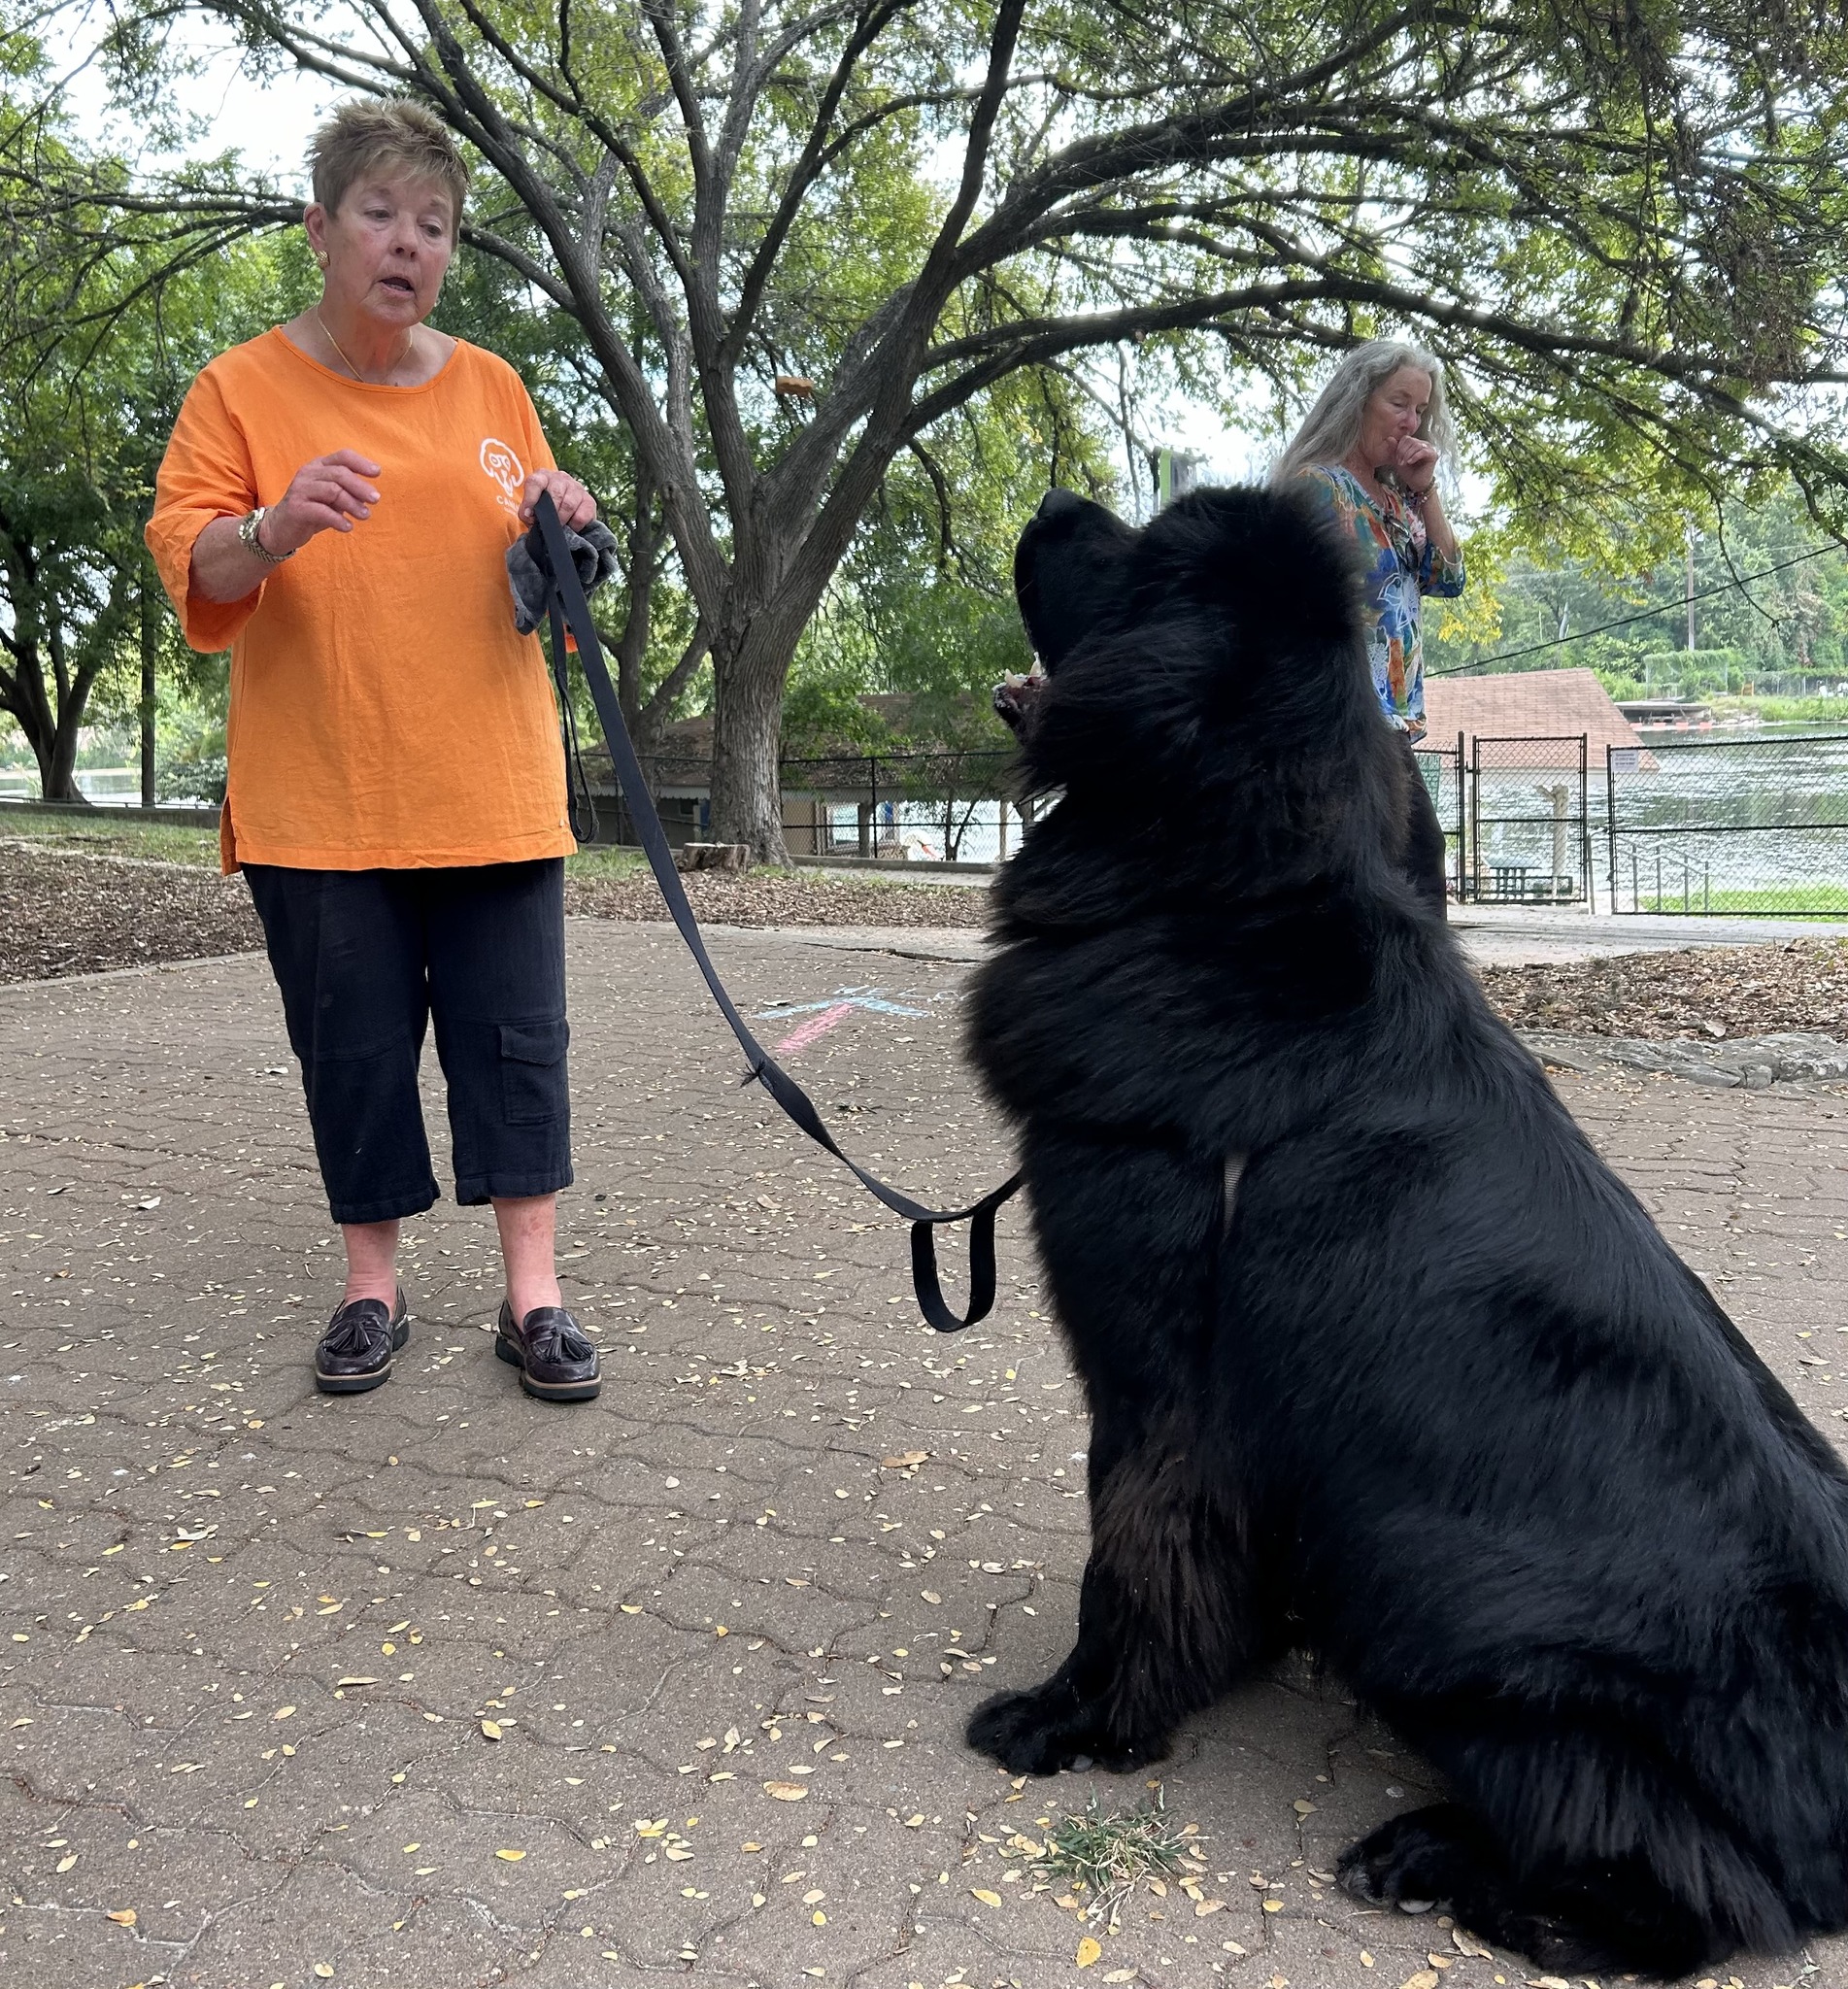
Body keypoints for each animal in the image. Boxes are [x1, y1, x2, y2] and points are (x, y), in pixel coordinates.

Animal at [966, 489, 1845, 1980]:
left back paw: (1444, 1865)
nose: (1055, 501)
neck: (1224, 897)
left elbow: (1128, 1557)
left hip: (1440, 1604)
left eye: (1138, 556)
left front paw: (1075, 1719)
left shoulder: (1157, 1368)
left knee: (1703, 1893)